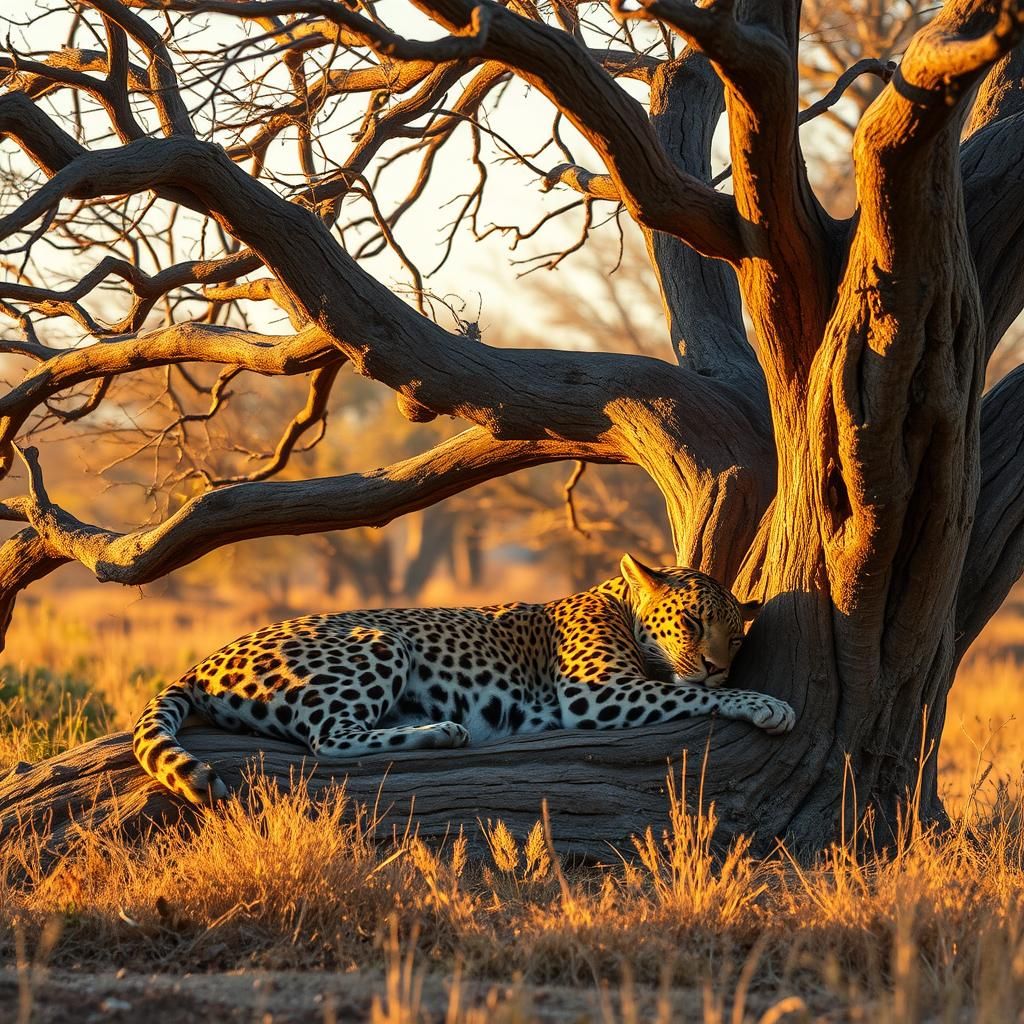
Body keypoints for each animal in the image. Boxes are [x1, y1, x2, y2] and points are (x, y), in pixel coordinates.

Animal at [133, 553, 796, 806]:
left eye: (738, 638)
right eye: (691, 622)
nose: (718, 665)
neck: (617, 604)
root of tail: (202, 661)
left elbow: (684, 688)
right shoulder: (598, 694)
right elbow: (684, 691)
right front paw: (767, 703)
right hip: (381, 643)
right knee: (329, 739)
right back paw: (445, 732)